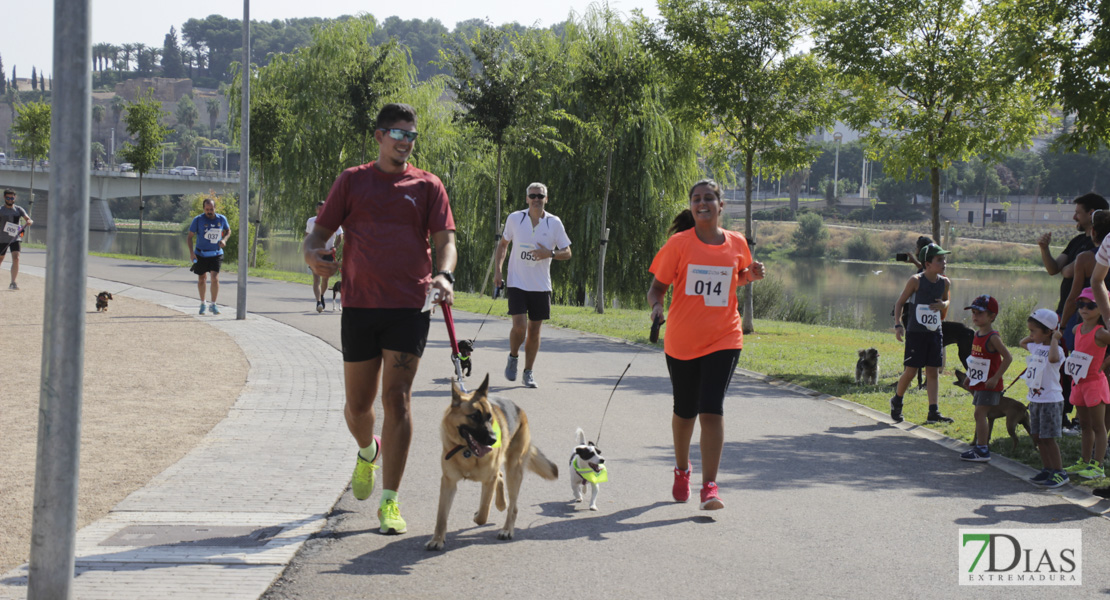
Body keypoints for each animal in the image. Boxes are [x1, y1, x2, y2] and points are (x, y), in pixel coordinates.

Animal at [428, 374, 559, 552]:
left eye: (489, 417)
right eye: (474, 416)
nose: (493, 440)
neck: (467, 451)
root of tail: (519, 408)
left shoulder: (488, 481)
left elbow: (483, 513)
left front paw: (480, 515)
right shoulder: (449, 483)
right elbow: (441, 516)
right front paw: (437, 539)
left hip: (514, 472)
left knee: (513, 506)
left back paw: (507, 528)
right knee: (500, 476)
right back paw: (501, 504)